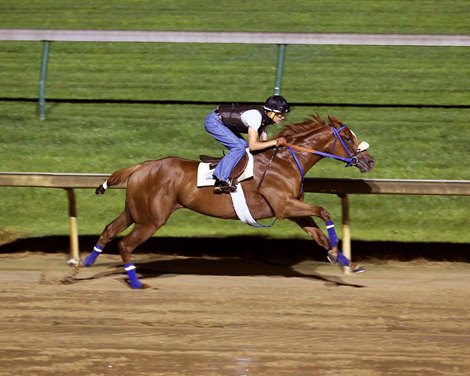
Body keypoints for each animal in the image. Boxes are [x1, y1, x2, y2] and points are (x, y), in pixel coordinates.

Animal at [81, 114, 374, 288]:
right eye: (347, 137)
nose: (370, 161)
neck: (286, 161)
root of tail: (141, 166)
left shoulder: (292, 210)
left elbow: (319, 234)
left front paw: (347, 261)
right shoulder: (283, 205)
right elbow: (325, 212)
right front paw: (338, 254)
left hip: (135, 211)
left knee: (108, 231)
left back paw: (83, 265)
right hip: (152, 219)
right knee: (126, 244)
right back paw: (135, 282)